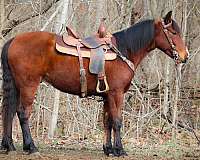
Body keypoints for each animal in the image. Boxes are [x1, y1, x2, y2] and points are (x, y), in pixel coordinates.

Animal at [0, 10, 188, 156]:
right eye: (173, 33)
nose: (185, 56)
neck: (124, 50)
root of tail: (13, 40)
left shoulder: (107, 96)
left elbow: (107, 121)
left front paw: (109, 149)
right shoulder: (116, 93)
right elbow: (117, 121)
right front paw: (120, 150)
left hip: (17, 86)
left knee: (9, 111)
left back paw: (9, 145)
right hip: (29, 85)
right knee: (22, 113)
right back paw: (31, 146)